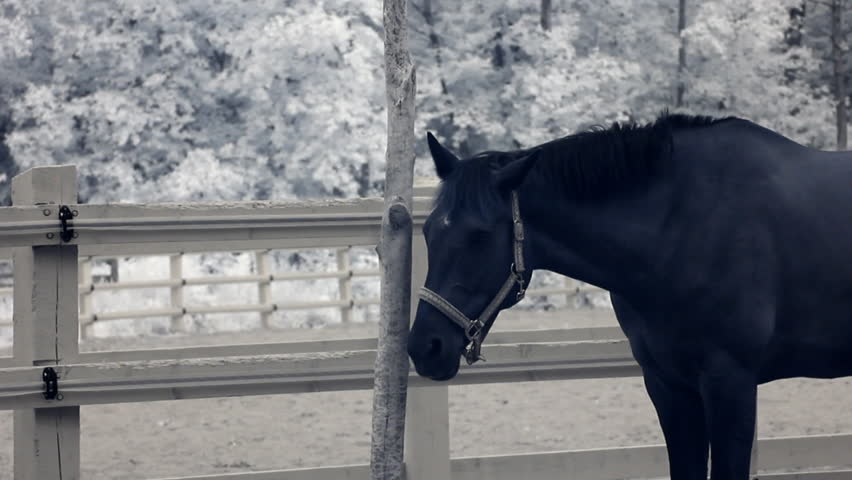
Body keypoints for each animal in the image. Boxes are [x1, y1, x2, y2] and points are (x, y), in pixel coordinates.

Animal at [407, 113, 852, 480]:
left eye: (479, 235)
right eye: (427, 230)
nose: (425, 347)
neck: (682, 225)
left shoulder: (731, 384)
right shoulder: (668, 385)